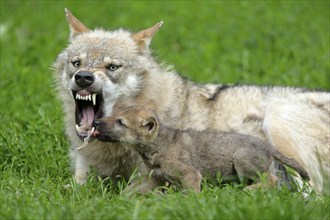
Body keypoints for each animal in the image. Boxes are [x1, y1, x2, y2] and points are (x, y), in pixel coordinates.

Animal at [91, 106, 310, 192]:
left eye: (120, 122)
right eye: (113, 114)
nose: (95, 122)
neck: (158, 146)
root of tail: (268, 145)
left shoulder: (191, 175)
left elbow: (190, 196)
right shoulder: (155, 178)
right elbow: (128, 192)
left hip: (241, 161)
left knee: (271, 180)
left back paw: (247, 191)